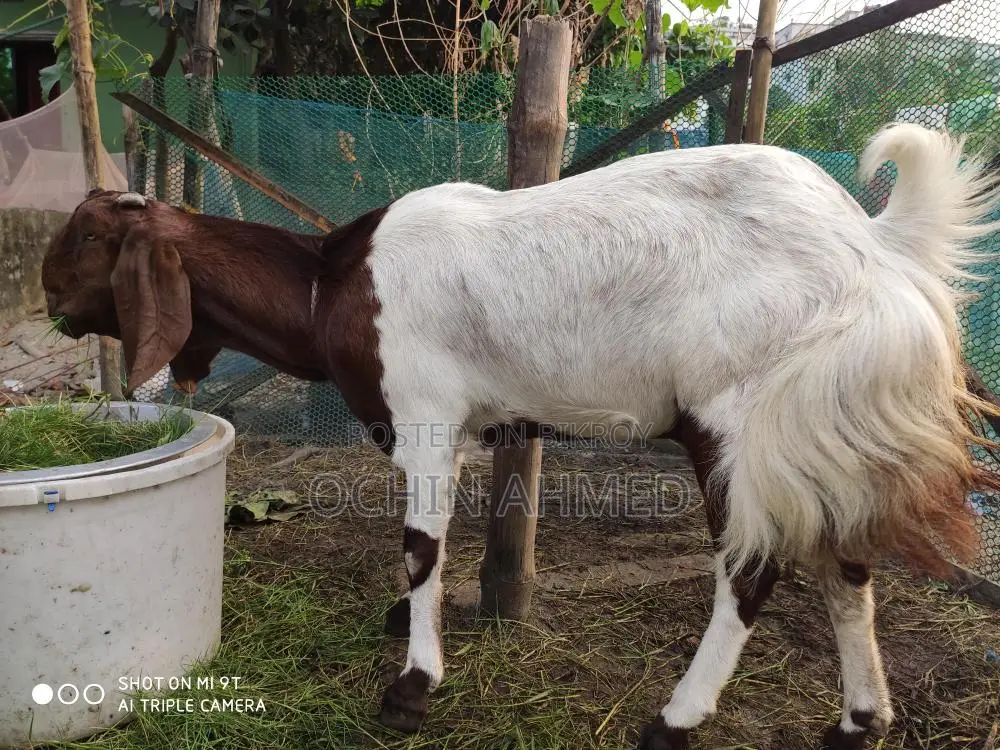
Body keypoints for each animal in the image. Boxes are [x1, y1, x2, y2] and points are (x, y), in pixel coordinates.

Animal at [42, 122, 1000, 750]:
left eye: (87, 237)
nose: (48, 305)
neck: (325, 287)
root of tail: (875, 248)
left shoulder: (425, 415)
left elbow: (420, 547)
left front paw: (412, 689)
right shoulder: (466, 427)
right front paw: (406, 629)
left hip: (740, 425)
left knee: (752, 569)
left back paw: (674, 720)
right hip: (823, 430)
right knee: (850, 565)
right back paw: (860, 721)